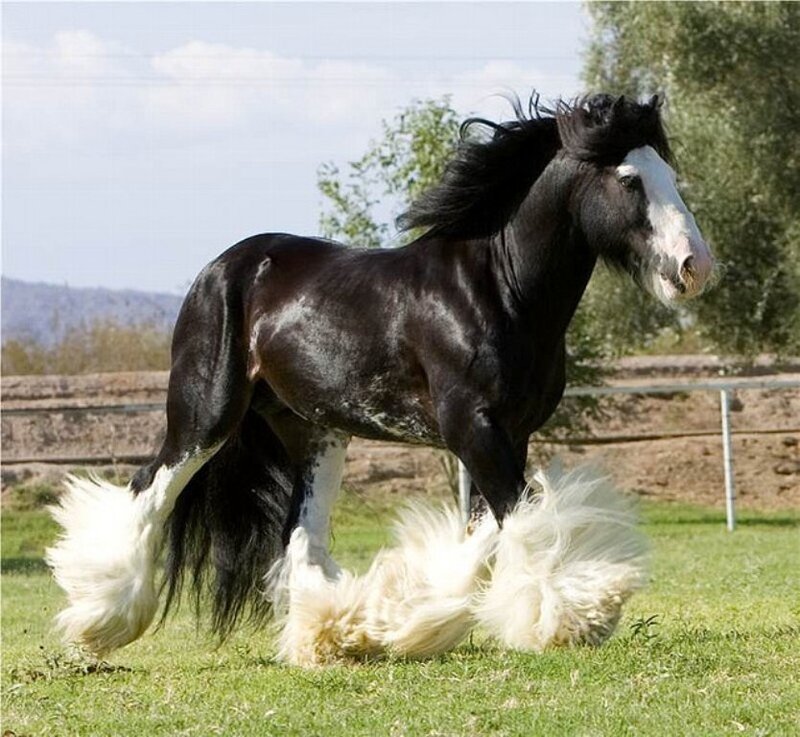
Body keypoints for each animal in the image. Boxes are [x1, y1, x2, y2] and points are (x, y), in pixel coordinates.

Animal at [47, 93, 715, 665]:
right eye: (628, 180)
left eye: (669, 173)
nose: (694, 266)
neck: (497, 290)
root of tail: (224, 266)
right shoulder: (473, 427)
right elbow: (526, 520)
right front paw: (574, 618)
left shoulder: (509, 432)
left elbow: (484, 537)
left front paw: (401, 625)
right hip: (206, 415)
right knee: (147, 490)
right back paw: (100, 624)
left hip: (315, 432)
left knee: (300, 537)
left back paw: (327, 635)